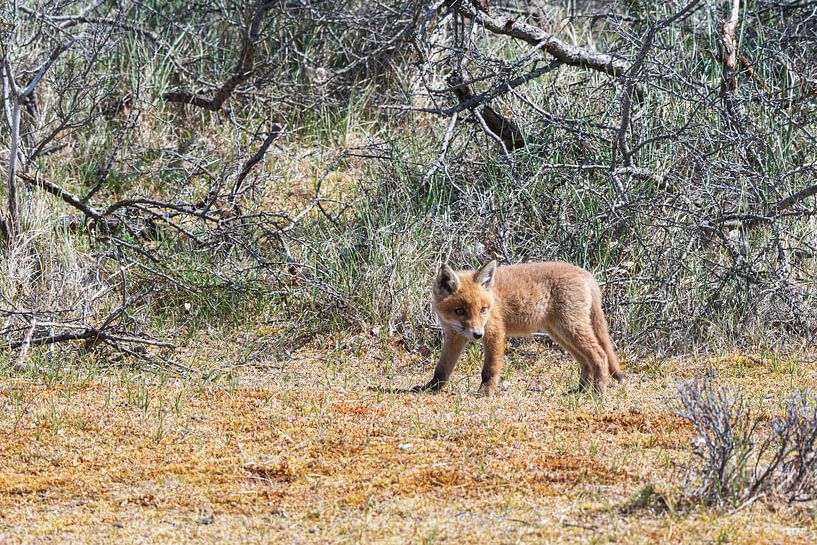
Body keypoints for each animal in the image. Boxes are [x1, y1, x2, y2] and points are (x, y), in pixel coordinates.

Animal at [416, 260, 622, 396]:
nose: (477, 334)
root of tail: (585, 273)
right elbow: (441, 369)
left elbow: (489, 369)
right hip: (561, 334)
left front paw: (485, 392)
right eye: (460, 311)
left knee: (600, 355)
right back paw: (580, 390)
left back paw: (598, 392)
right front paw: (431, 388)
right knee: (586, 362)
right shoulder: (454, 336)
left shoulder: (495, 333)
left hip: (570, 329)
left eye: (483, 310)